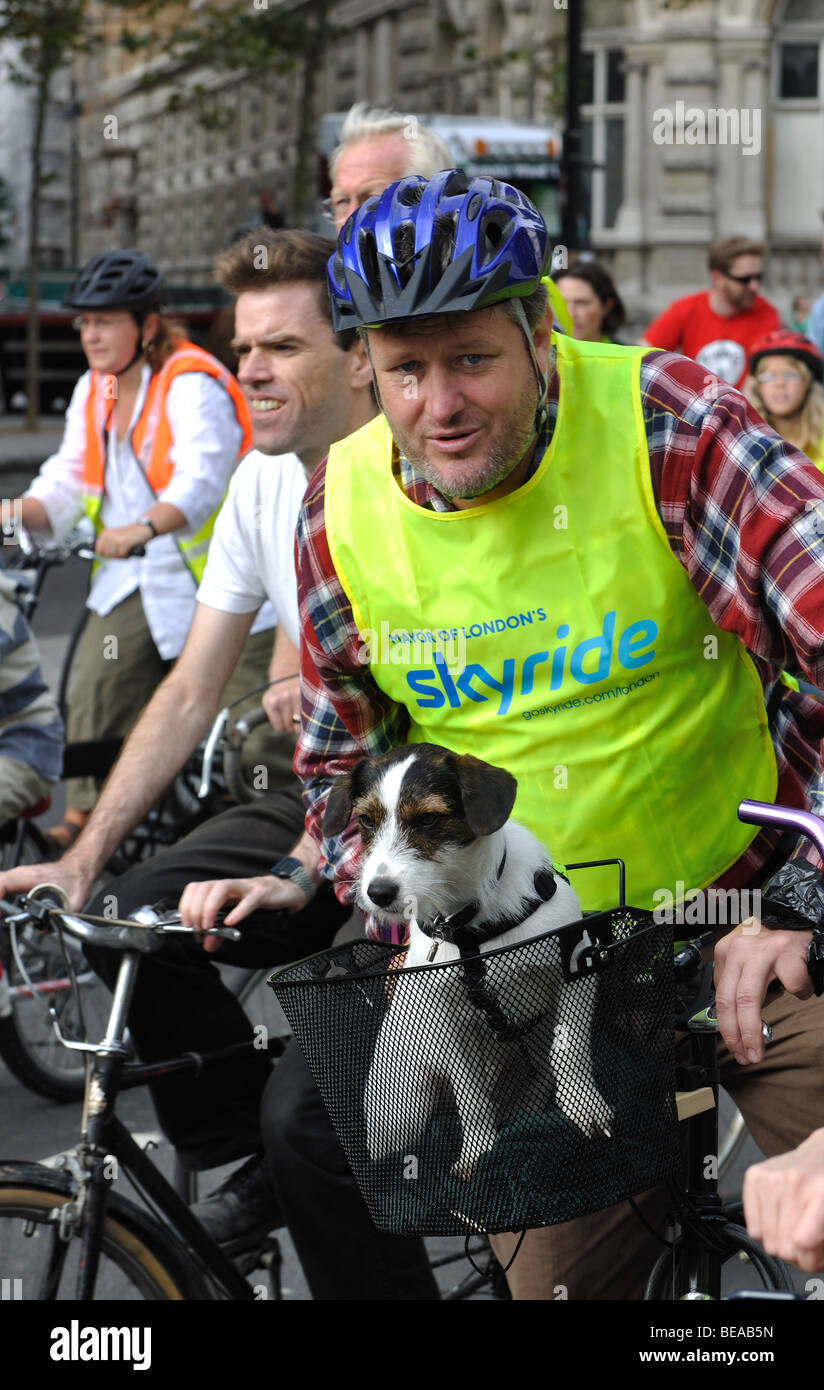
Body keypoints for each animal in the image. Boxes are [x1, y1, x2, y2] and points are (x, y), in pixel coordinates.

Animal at [325, 745, 614, 1178]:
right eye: (365, 820)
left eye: (428, 819)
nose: (378, 893)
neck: (467, 926)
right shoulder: (448, 1026)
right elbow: (471, 1095)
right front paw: (479, 1148)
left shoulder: (576, 965)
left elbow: (569, 1050)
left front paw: (584, 1104)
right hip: (400, 1114)